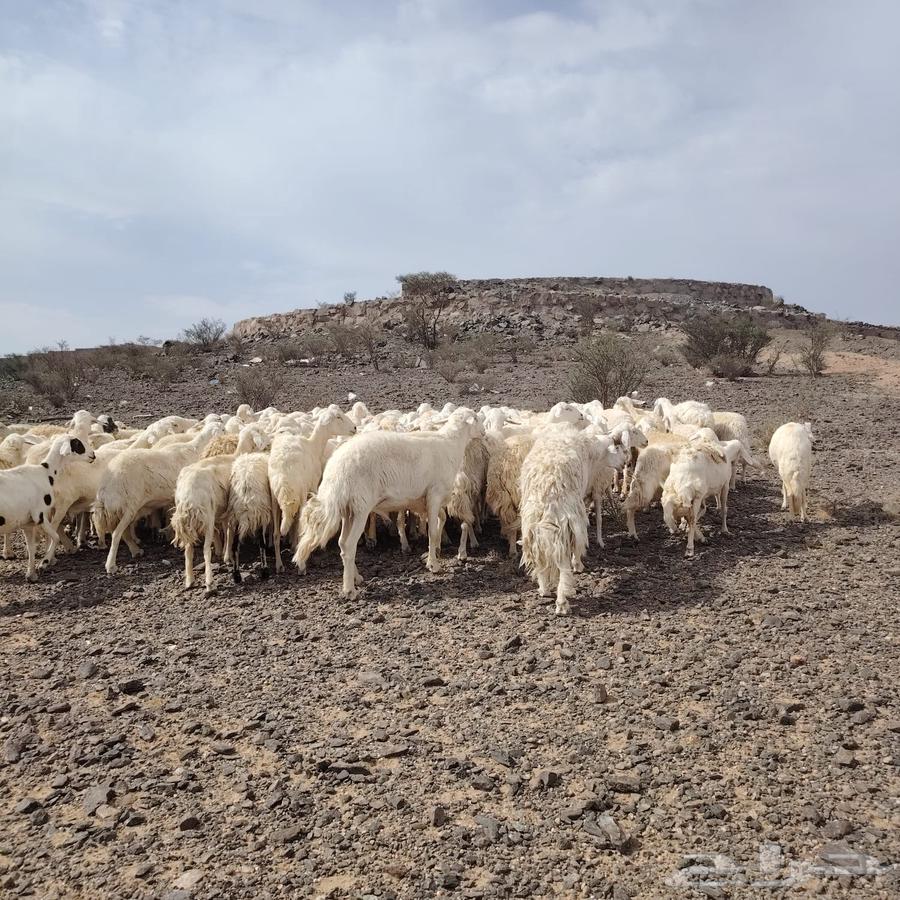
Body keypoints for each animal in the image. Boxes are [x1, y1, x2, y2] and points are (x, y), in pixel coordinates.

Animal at [0, 435, 95, 581]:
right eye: (77, 444)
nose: (93, 455)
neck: (46, 472)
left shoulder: (27, 523)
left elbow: (31, 548)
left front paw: (31, 574)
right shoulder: (39, 515)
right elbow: (55, 537)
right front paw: (44, 563)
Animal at [94, 423, 222, 574]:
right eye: (222, 428)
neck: (197, 449)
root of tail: (105, 485)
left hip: (125, 509)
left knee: (124, 533)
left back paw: (136, 551)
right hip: (128, 505)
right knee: (116, 534)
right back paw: (111, 565)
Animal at [268, 406, 356, 543]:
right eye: (338, 417)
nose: (355, 428)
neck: (313, 445)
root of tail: (284, 482)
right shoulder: (313, 485)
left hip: (274, 498)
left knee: (276, 534)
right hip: (301, 494)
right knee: (298, 529)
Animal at [293, 408, 483, 598]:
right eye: (475, 418)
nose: (483, 432)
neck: (451, 445)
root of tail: (335, 470)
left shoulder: (425, 500)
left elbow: (440, 520)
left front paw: (434, 552)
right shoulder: (434, 495)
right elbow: (433, 532)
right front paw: (433, 565)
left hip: (348, 510)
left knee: (342, 543)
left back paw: (357, 578)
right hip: (361, 506)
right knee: (349, 544)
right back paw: (349, 590)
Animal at [519, 428, 624, 615]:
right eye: (618, 448)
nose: (625, 464)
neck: (593, 450)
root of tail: (547, 492)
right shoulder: (576, 518)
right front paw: (578, 565)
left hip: (532, 526)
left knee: (540, 558)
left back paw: (544, 589)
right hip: (563, 523)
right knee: (563, 563)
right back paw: (562, 603)